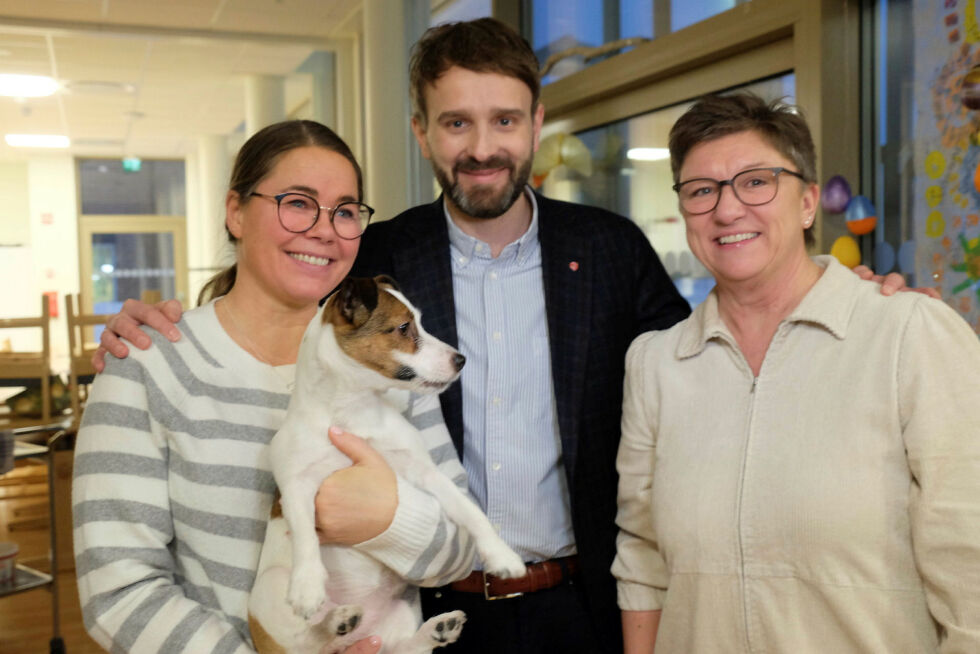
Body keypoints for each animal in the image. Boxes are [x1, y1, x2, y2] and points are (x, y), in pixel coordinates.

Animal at [249, 276, 524, 654]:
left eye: (420, 322)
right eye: (404, 328)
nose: (461, 359)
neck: (354, 413)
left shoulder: (425, 473)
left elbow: (470, 511)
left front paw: (501, 554)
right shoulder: (296, 487)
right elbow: (305, 534)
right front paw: (307, 586)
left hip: (401, 612)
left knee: (403, 647)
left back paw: (436, 628)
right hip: (270, 592)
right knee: (310, 641)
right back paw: (334, 620)